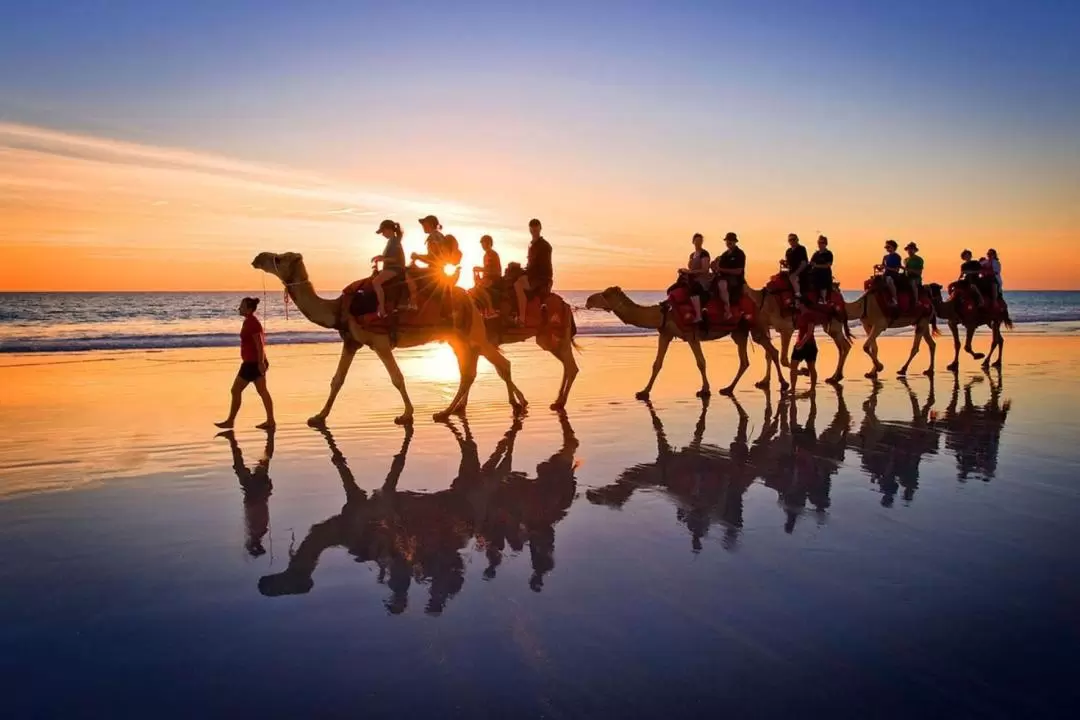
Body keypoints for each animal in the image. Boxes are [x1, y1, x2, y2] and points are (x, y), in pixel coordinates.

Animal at [251, 252, 522, 425]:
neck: (339, 309)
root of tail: (472, 298)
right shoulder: (351, 341)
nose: (257, 258)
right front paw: (318, 416)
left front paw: (406, 415)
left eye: (278, 258)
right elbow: (337, 380)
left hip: (471, 333)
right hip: (457, 338)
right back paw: (446, 412)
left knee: (499, 364)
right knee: (469, 371)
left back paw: (515, 405)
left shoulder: (379, 342)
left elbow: (397, 378)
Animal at [587, 287, 790, 399]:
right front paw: (643, 392)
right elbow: (657, 364)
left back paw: (783, 383)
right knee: (746, 360)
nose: (588, 300)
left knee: (771, 351)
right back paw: (728, 388)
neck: (664, 312)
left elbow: (701, 362)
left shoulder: (691, 335)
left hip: (755, 326)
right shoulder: (666, 334)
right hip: (739, 331)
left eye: (604, 294)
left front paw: (705, 390)